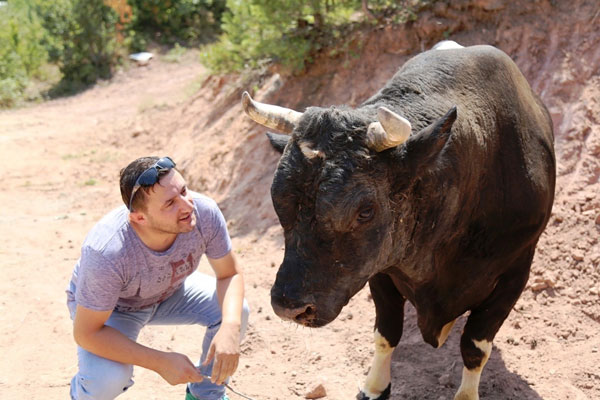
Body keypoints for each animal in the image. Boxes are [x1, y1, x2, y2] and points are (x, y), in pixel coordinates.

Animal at [241, 42, 556, 398]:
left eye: (365, 210)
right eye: (277, 199)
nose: (289, 306)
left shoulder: (515, 272)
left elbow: (475, 346)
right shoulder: (380, 267)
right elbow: (386, 332)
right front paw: (375, 386)